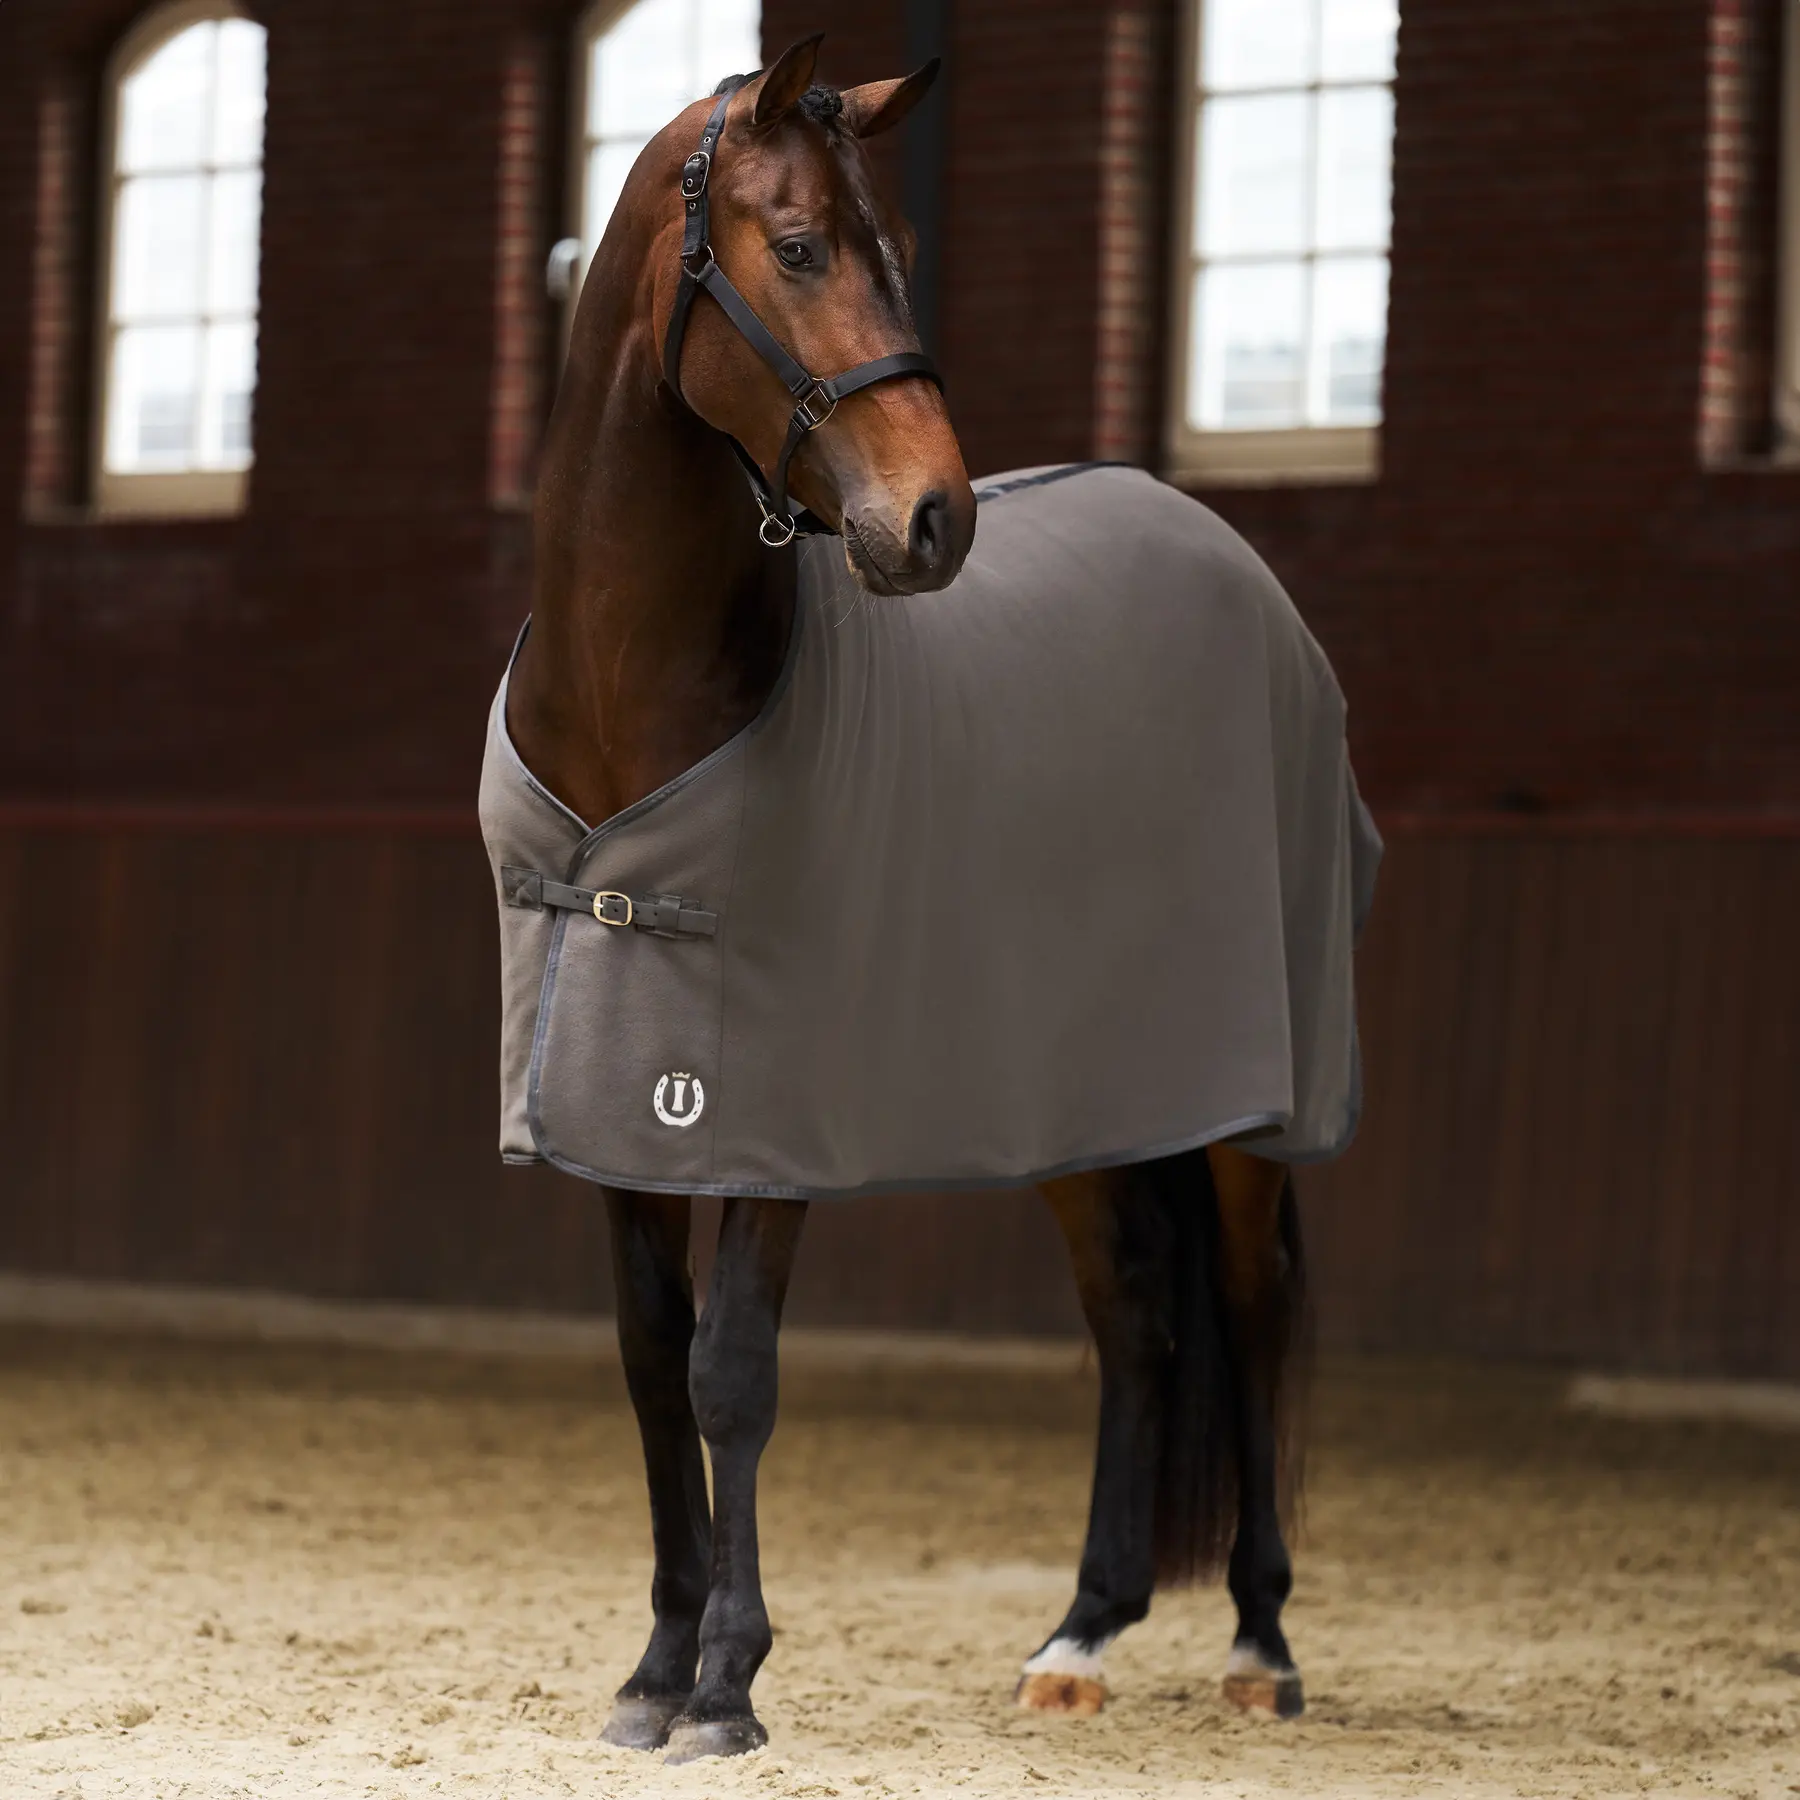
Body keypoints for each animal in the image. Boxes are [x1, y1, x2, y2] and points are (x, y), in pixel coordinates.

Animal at [500, 34, 1350, 1765]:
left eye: (895, 246)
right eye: (800, 246)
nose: (937, 520)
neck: (637, 706)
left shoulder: (770, 1108)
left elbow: (733, 1370)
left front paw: (726, 1685)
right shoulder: (615, 1106)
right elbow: (648, 1359)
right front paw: (653, 1669)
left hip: (1245, 1098)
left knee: (1251, 1303)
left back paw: (1259, 1643)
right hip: (1078, 1099)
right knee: (1138, 1314)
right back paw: (1081, 1633)